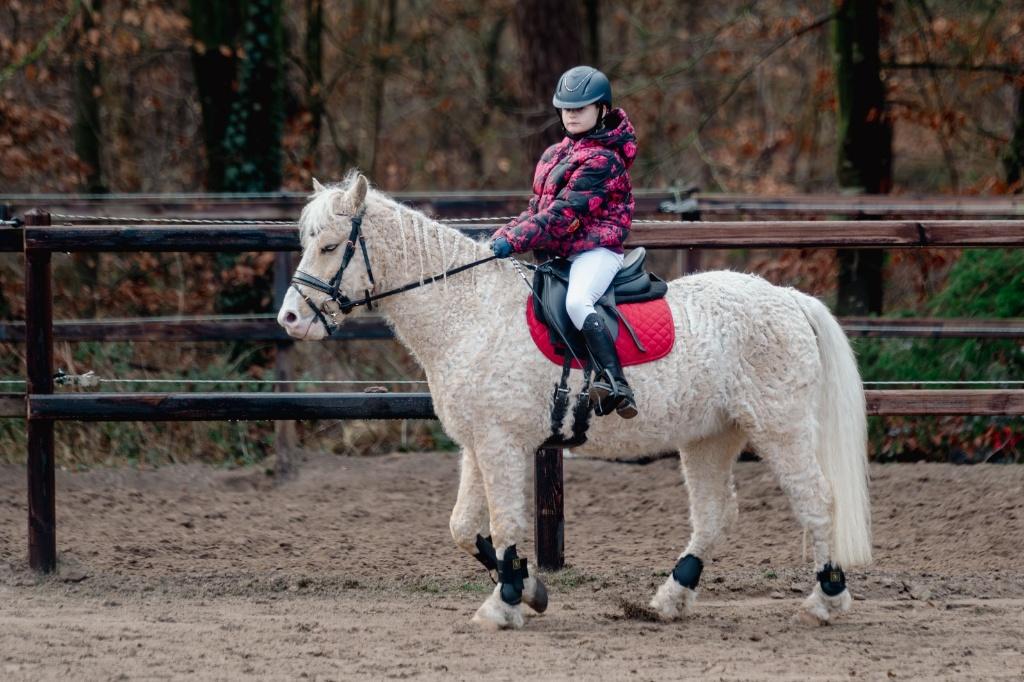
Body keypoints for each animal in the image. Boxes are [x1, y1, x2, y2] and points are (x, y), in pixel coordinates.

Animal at [277, 171, 872, 631]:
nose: (291, 319)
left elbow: (507, 525)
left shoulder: (501, 444)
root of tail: (787, 299)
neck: (471, 311)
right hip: (710, 436)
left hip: (780, 428)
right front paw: (529, 589)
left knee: (816, 501)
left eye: (329, 246)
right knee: (714, 516)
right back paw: (670, 599)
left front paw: (505, 604)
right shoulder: (476, 444)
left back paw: (825, 601)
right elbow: (464, 527)